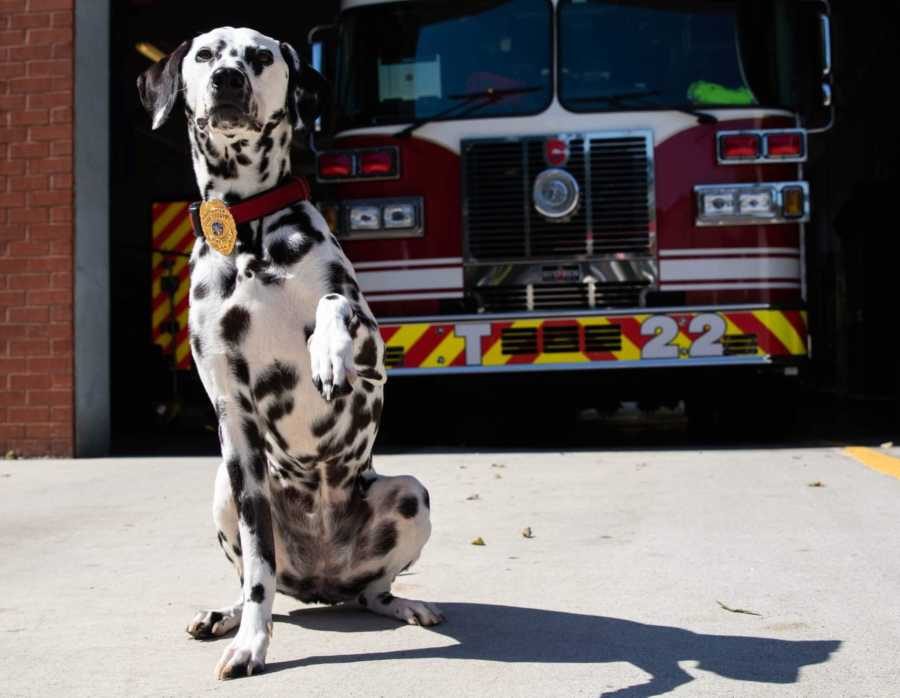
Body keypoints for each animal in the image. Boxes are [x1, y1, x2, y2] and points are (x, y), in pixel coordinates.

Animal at [137, 25, 442, 676]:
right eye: (205, 54)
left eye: (259, 56)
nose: (228, 79)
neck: (245, 231)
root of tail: (323, 583)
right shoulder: (234, 418)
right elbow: (258, 568)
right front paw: (250, 643)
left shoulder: (377, 359)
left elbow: (333, 303)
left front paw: (326, 352)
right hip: (226, 491)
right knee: (264, 580)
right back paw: (226, 614)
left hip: (409, 494)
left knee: (375, 591)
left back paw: (404, 605)